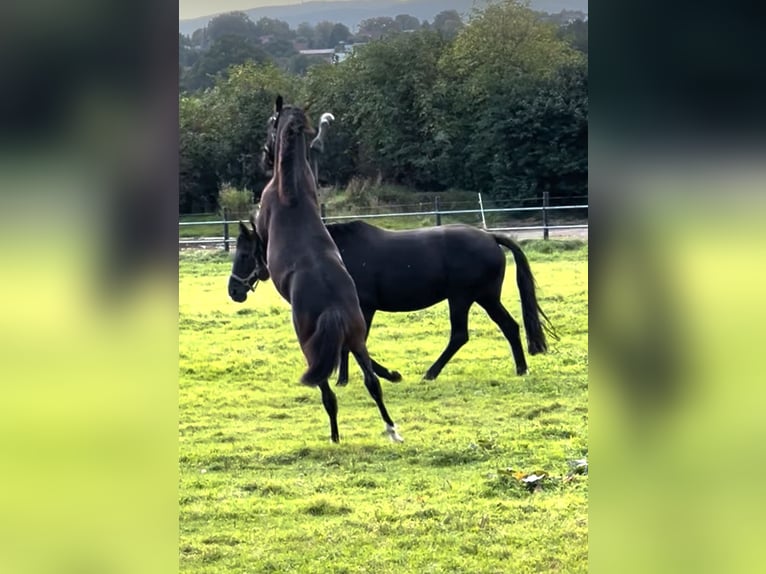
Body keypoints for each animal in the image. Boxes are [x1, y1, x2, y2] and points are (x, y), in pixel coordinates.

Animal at [228, 97, 404, 446]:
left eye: (270, 123)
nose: (234, 291)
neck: (290, 189)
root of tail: (333, 307)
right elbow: (317, 151)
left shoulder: (263, 233)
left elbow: (260, 254)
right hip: (356, 336)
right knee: (370, 380)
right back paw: (391, 426)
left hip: (311, 349)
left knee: (327, 392)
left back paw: (335, 436)